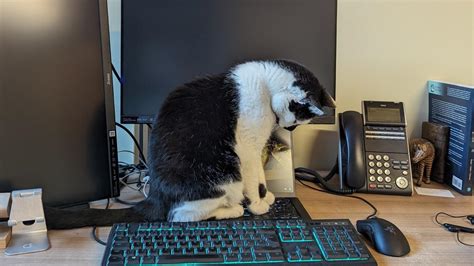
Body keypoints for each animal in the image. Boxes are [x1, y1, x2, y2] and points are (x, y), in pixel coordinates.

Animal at [43, 60, 334, 229]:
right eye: (299, 118)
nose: (290, 128)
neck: (265, 85)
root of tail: (155, 195)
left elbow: (262, 179)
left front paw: (268, 196)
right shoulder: (249, 149)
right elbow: (255, 181)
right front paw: (258, 205)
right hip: (224, 175)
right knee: (180, 216)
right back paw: (232, 210)